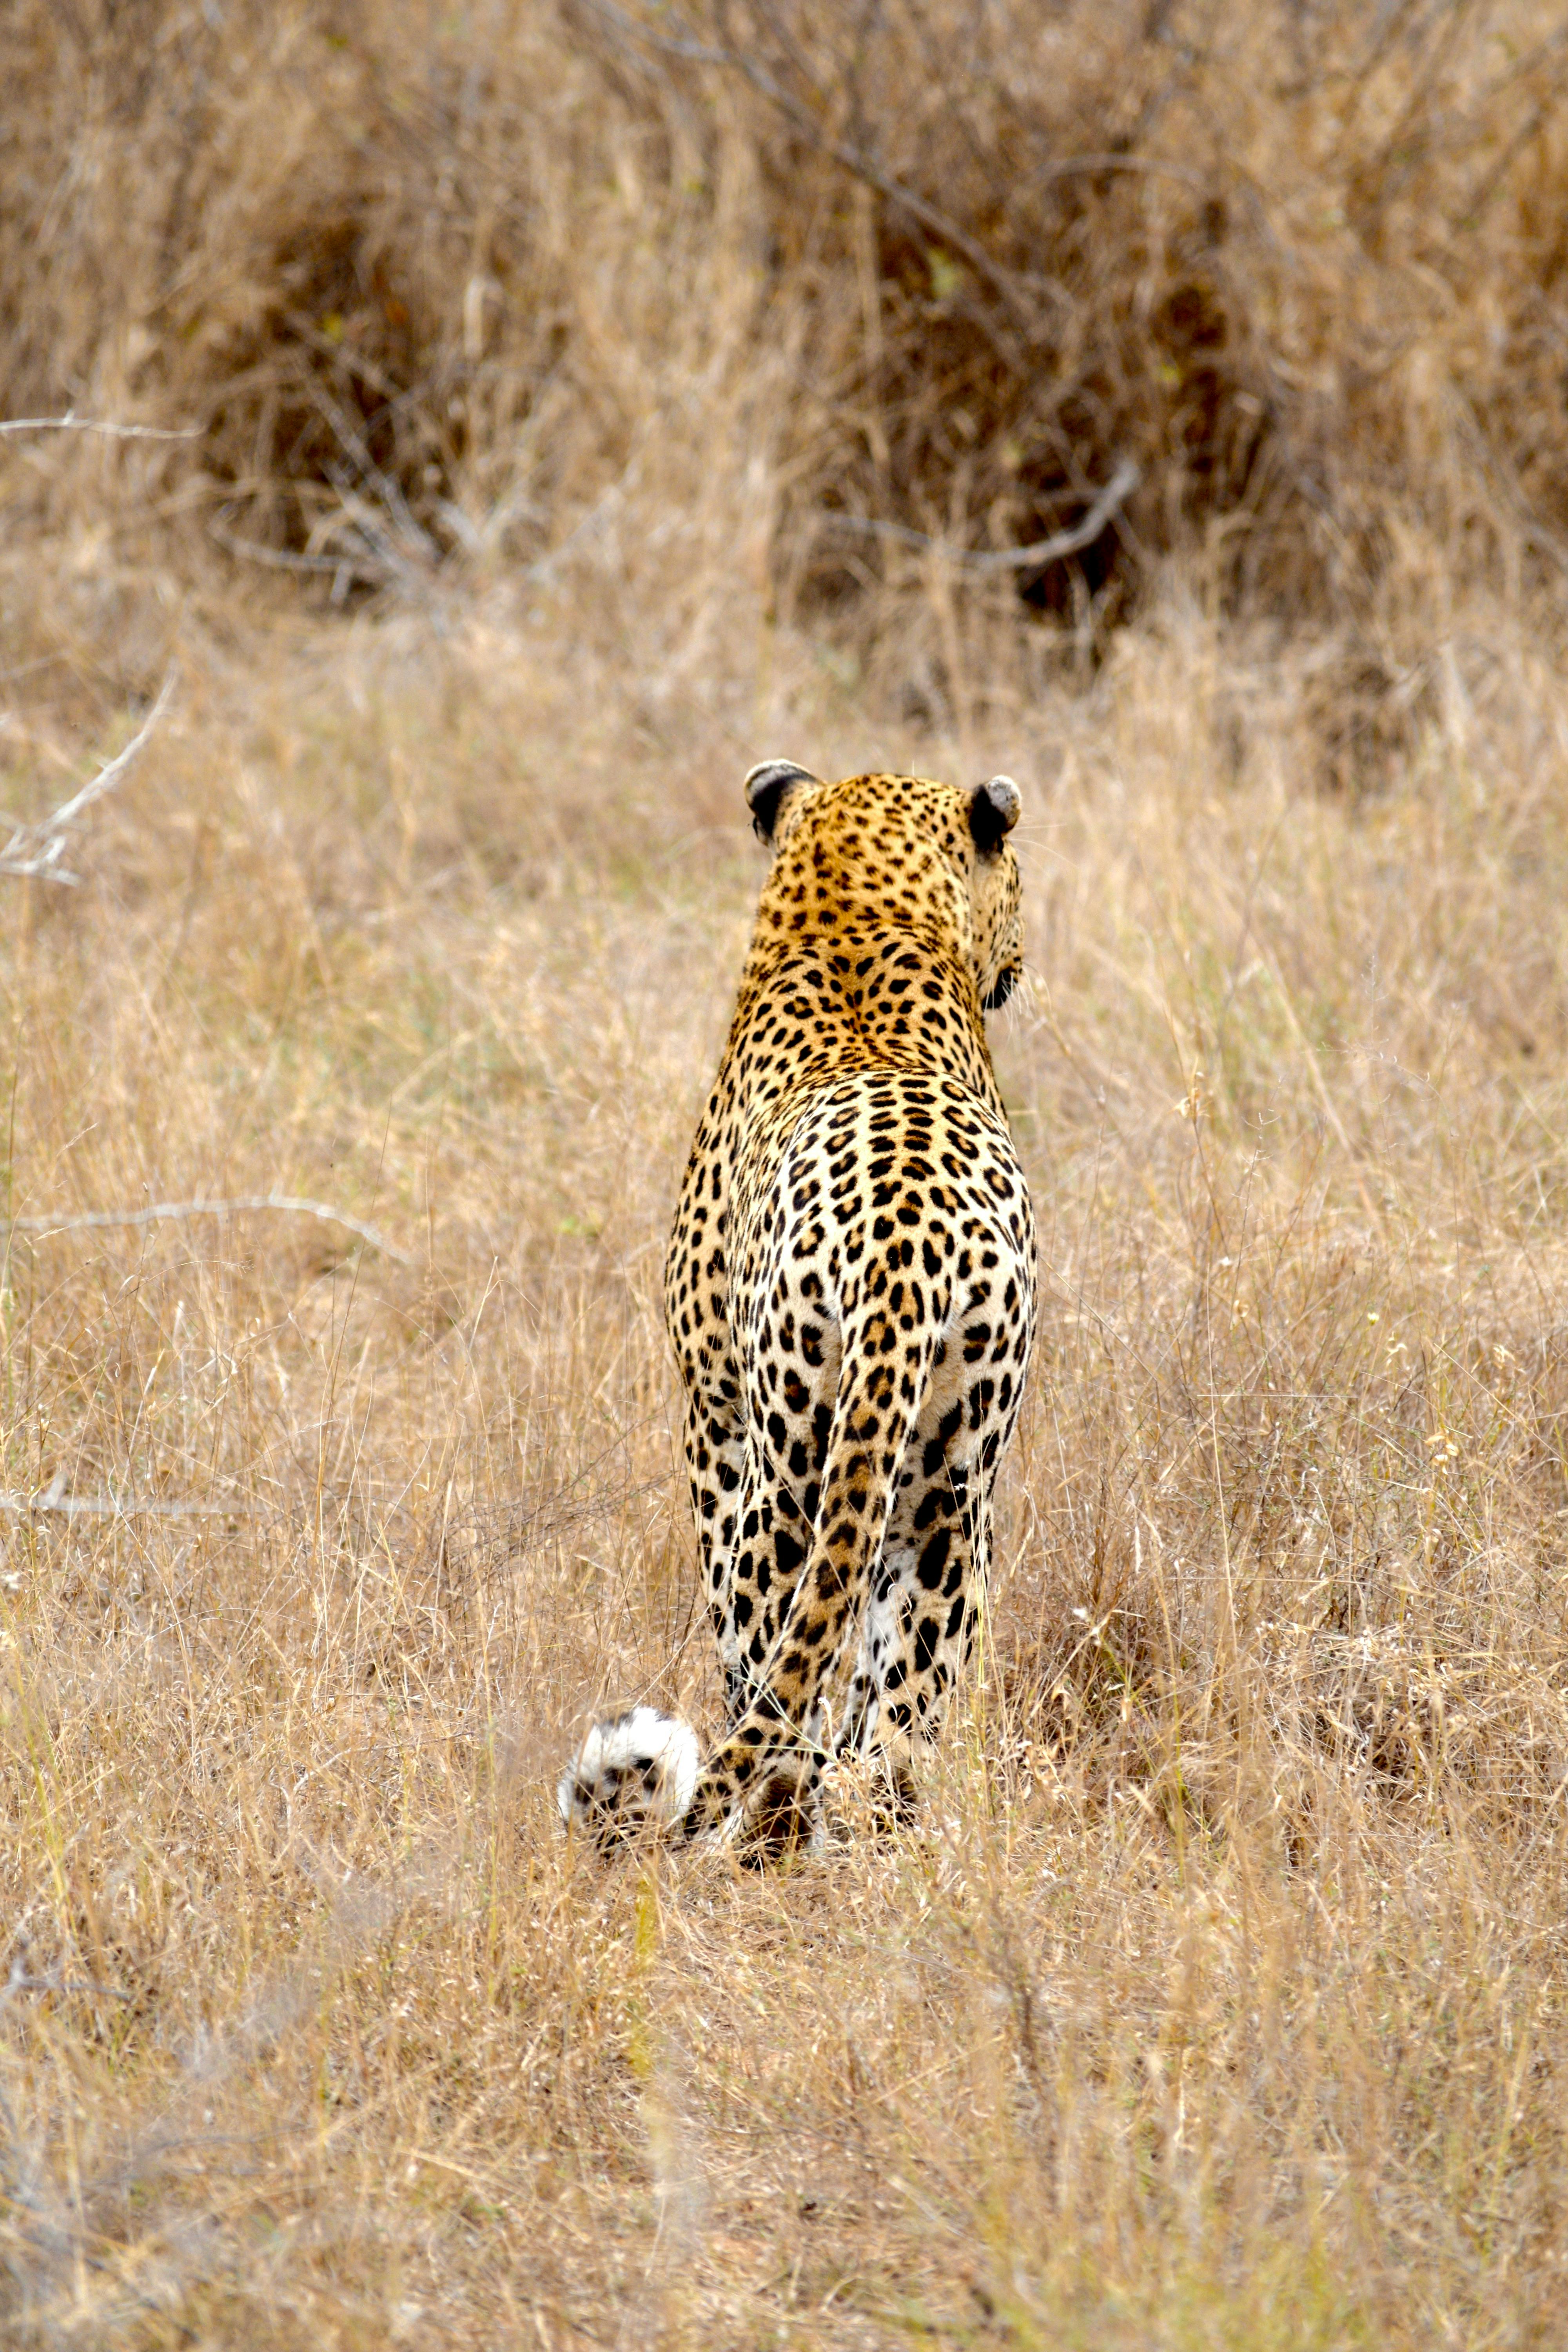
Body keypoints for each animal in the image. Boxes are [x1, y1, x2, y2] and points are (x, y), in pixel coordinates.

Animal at [557, 762, 1034, 1844]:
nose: (1021, 960)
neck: (850, 918)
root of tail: (907, 1255)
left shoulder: (711, 1410)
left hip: (787, 1465)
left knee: (775, 1671)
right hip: (952, 1495)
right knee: (894, 1736)